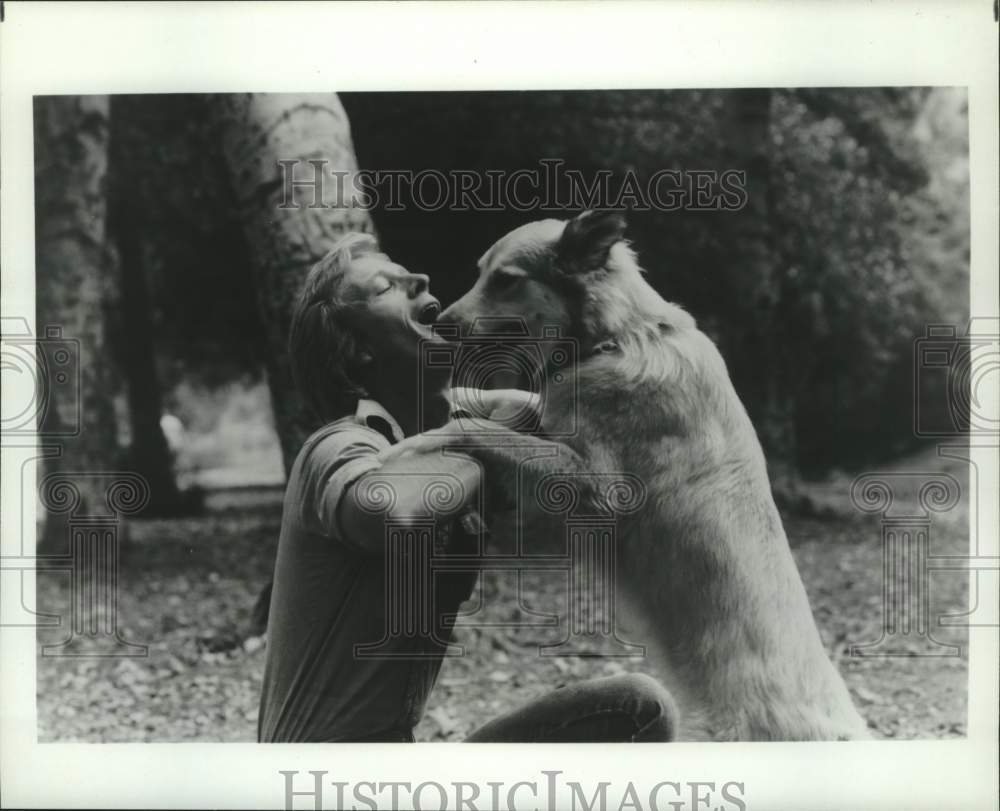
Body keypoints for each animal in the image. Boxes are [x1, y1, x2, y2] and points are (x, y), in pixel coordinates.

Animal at [390, 209, 868, 744]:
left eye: (506, 280)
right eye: (480, 274)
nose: (439, 324)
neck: (618, 338)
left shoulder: (598, 488)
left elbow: (481, 431)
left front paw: (421, 439)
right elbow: (510, 403)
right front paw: (452, 400)